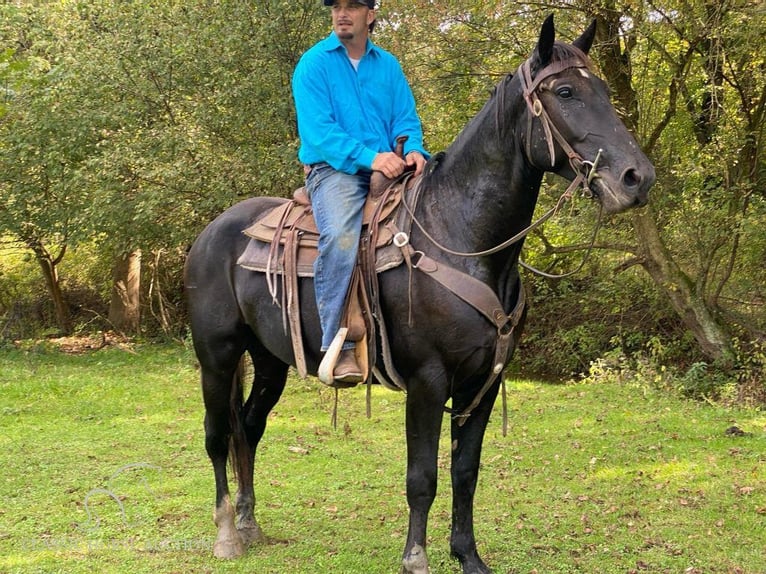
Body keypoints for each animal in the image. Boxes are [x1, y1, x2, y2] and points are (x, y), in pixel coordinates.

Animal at [188, 15, 660, 572]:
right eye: (565, 92)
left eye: (604, 90)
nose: (637, 178)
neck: (461, 237)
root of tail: (212, 232)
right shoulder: (428, 380)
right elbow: (422, 478)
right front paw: (416, 556)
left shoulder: (484, 380)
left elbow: (465, 472)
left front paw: (468, 556)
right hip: (217, 355)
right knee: (217, 435)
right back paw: (226, 534)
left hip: (268, 360)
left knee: (249, 426)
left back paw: (249, 523)